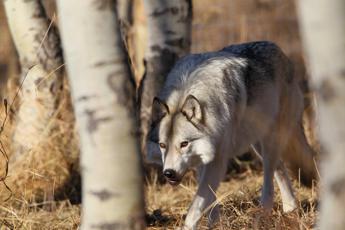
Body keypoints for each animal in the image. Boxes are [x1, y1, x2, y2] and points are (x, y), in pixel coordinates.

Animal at [144, 41, 314, 228]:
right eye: (162, 145)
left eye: (184, 144)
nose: (169, 173)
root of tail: (281, 52)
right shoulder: (202, 160)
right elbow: (209, 199)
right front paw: (215, 224)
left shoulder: (217, 159)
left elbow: (196, 206)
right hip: (257, 143)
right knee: (280, 169)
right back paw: (290, 209)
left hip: (270, 141)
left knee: (269, 182)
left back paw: (263, 216)